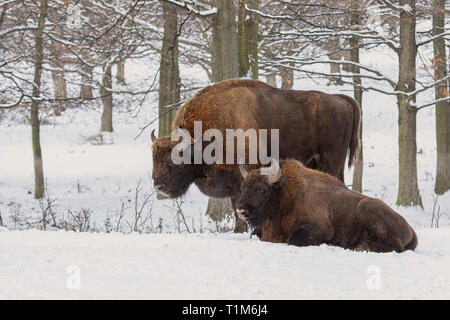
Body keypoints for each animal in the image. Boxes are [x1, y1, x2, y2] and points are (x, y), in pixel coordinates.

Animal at [151, 79, 362, 231]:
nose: (158, 185)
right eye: (154, 159)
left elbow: (240, 207)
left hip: (332, 160)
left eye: (173, 161)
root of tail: (341, 100)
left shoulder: (242, 178)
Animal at [237, 159, 416, 252]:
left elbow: (292, 239)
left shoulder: (319, 228)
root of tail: (411, 230)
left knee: (395, 247)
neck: (284, 195)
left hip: (368, 208)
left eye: (262, 189)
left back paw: (359, 246)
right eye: (243, 187)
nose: (241, 210)